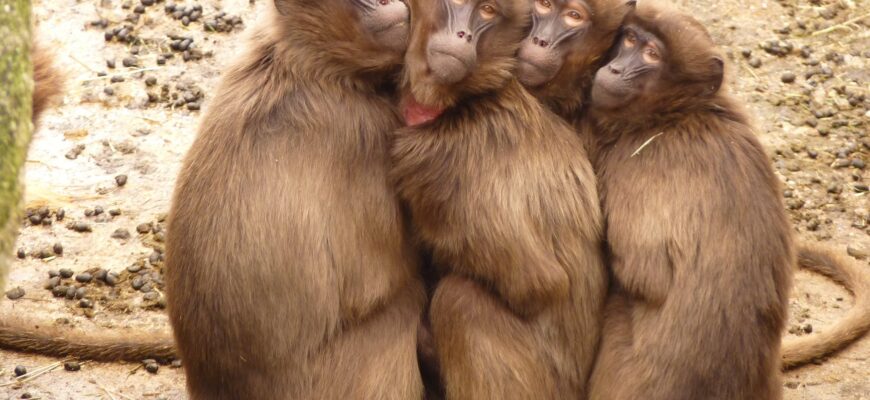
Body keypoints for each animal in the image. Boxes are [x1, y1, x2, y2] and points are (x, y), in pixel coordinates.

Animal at [393, 0, 606, 398]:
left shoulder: (448, 164)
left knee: (460, 301)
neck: (465, 101)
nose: (463, 34)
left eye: (488, 11)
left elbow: (537, 284)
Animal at [582, 1, 792, 398]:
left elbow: (644, 273)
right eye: (629, 39)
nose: (615, 68)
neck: (676, 115)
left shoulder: (640, 162)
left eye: (651, 54)